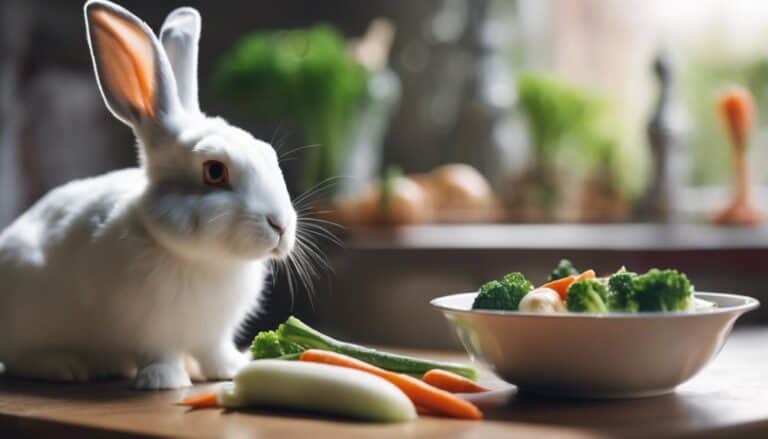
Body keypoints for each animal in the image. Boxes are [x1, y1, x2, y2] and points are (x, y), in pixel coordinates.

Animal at [0, 0, 297, 389]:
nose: (280, 226)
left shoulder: (213, 334)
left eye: (269, 153)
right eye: (215, 171)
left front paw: (230, 370)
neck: (207, 260)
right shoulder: (151, 330)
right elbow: (160, 354)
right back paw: (66, 366)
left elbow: (214, 352)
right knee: (20, 358)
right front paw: (165, 381)